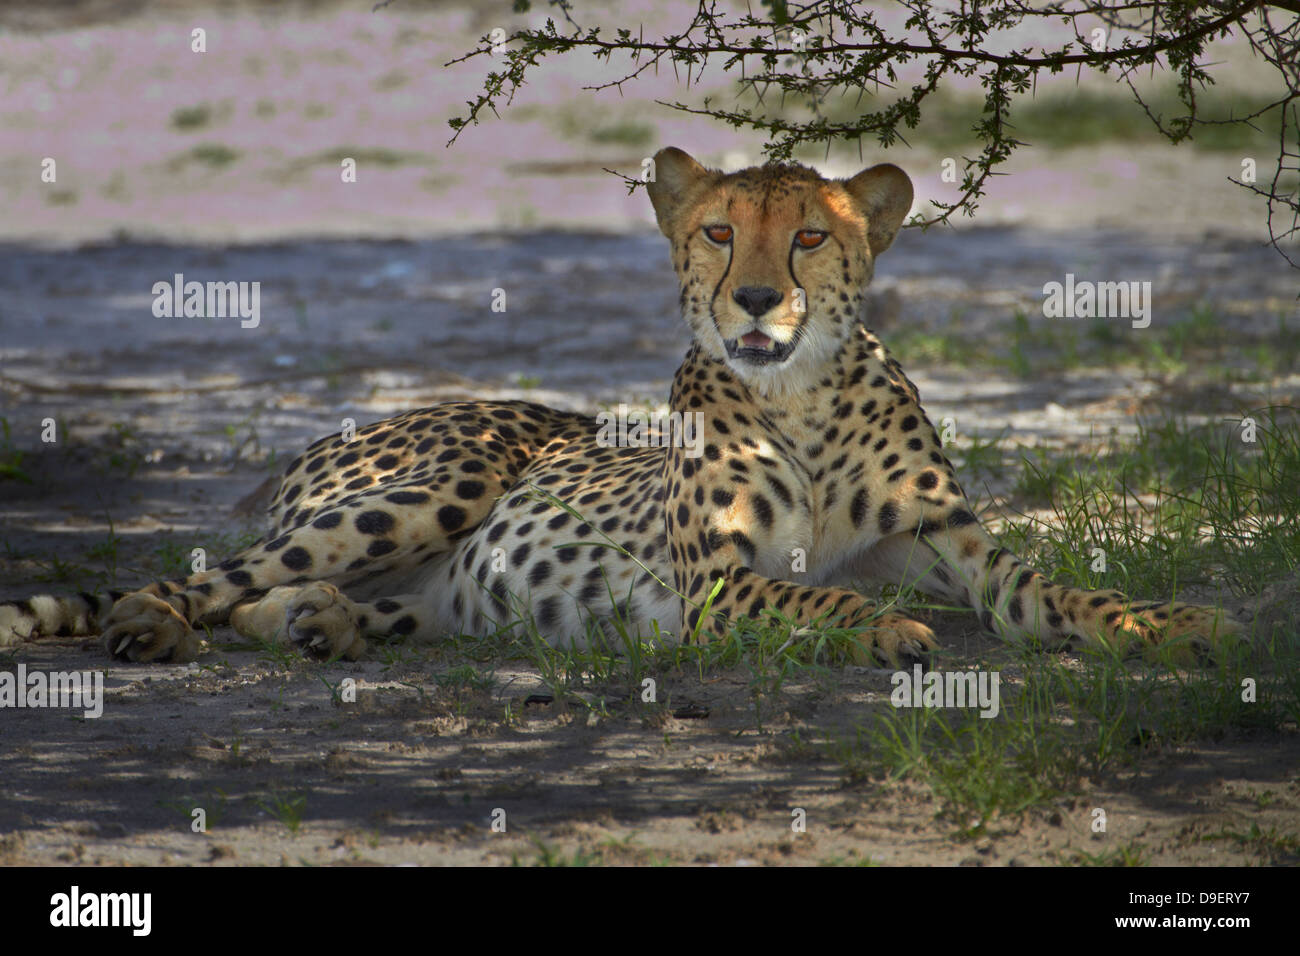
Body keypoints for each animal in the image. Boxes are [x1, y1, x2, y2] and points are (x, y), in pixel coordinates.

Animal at [0, 147, 1237, 665]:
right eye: (718, 230)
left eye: (809, 235)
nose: (755, 296)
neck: (800, 398)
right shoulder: (718, 588)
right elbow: (822, 596)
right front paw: (882, 626)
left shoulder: (956, 544)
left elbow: (1060, 590)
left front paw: (1169, 622)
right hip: (438, 486)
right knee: (210, 576)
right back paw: (149, 621)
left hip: (444, 594)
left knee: (286, 600)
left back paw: (325, 626)